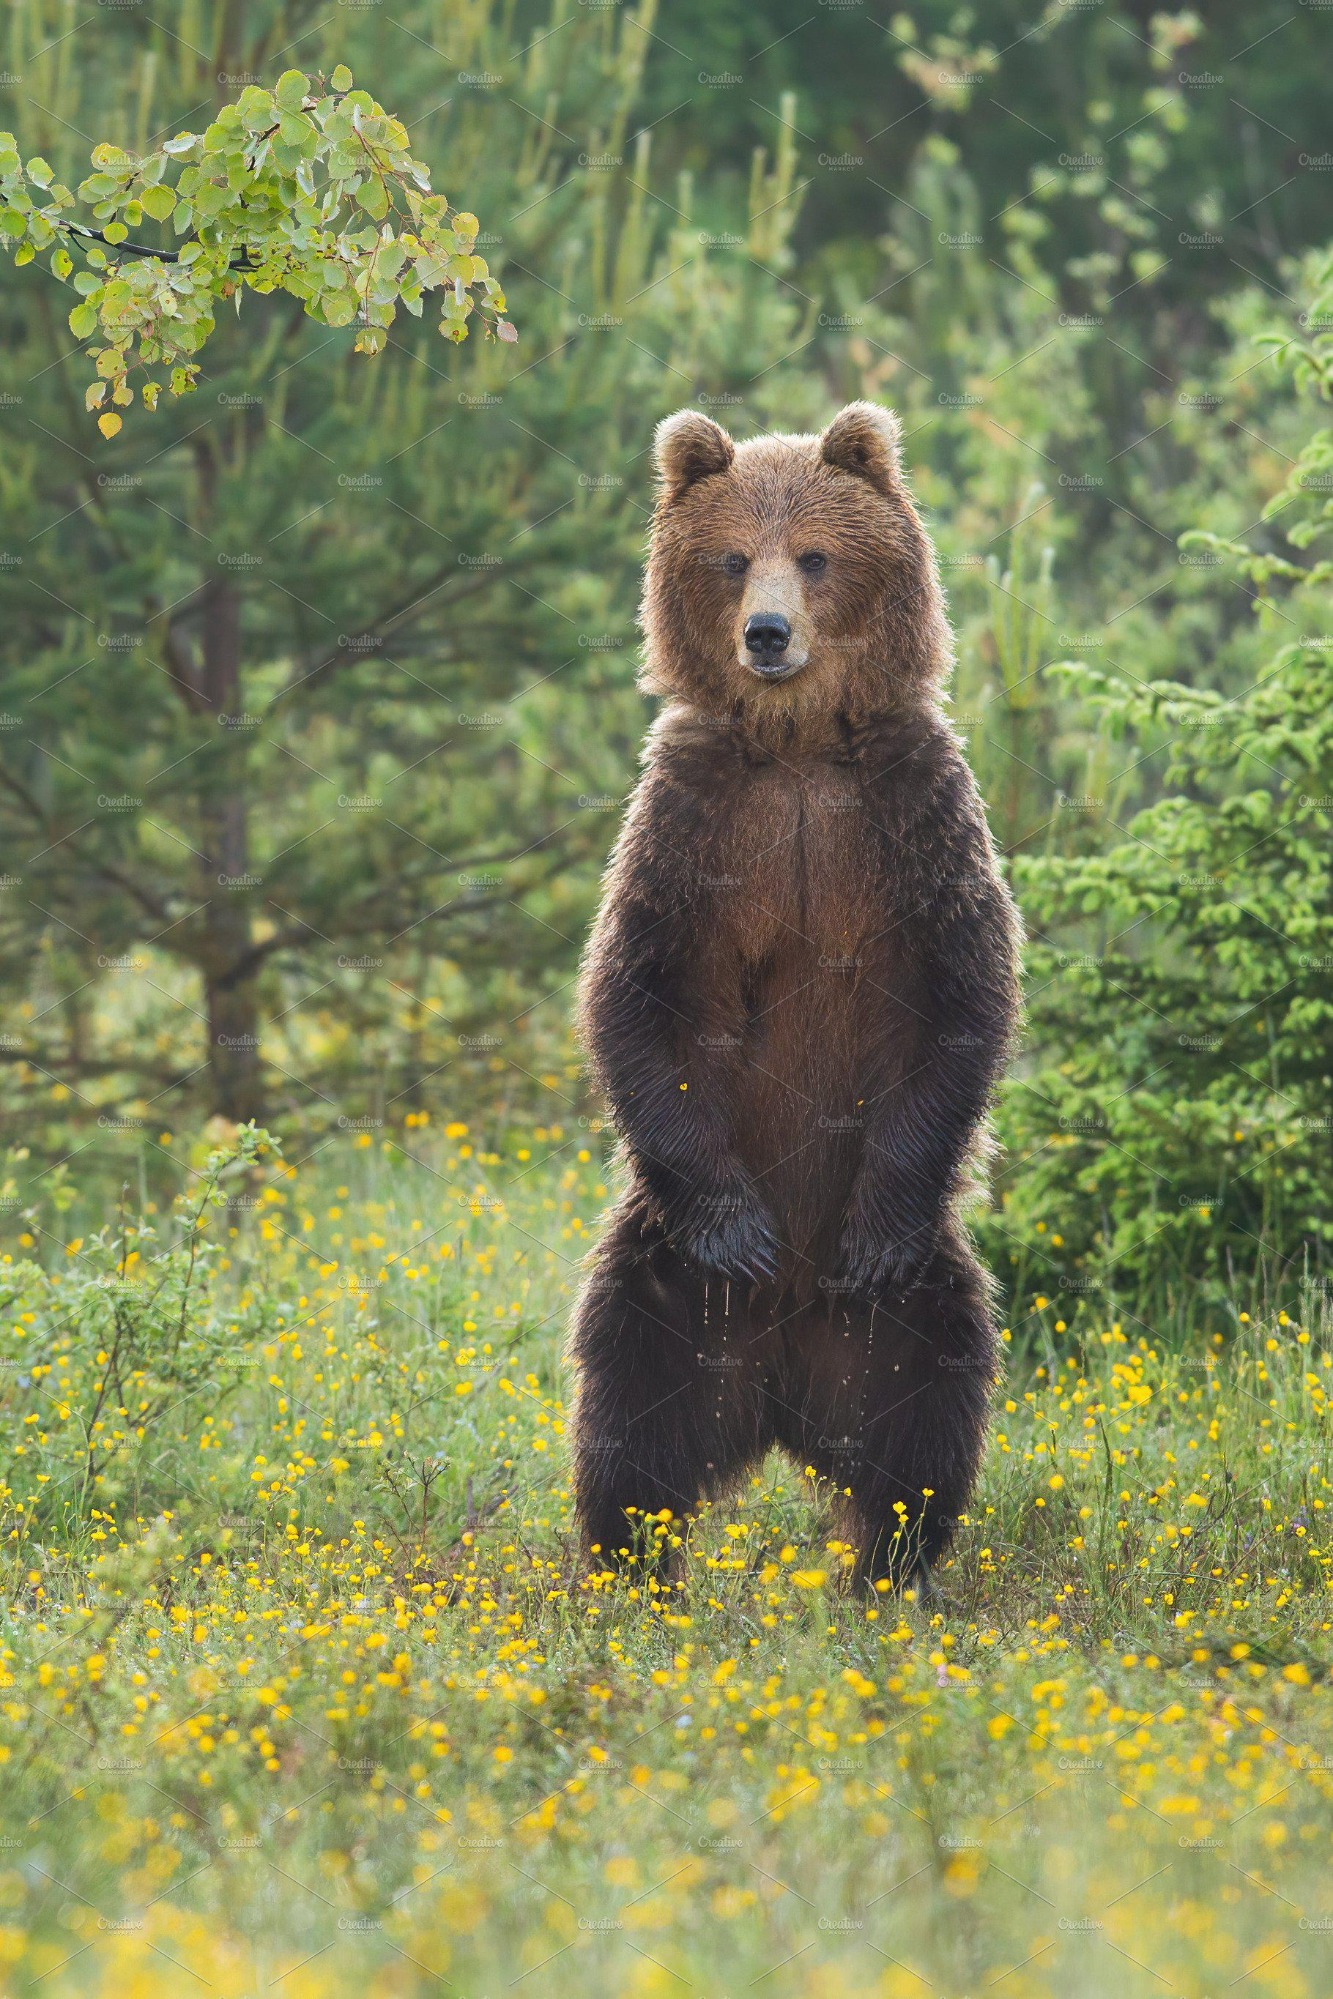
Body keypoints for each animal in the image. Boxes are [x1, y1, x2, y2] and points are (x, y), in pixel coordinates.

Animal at [571, 405, 1023, 1583]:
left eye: (814, 555)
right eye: (732, 558)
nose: (767, 633)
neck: (800, 748)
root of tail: (778, 1388)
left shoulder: (913, 814)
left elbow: (969, 993)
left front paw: (872, 1227)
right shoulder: (692, 821)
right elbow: (628, 992)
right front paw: (738, 1227)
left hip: (913, 1300)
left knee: (926, 1415)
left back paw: (887, 1568)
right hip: (662, 1273)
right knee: (627, 1411)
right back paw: (629, 1570)